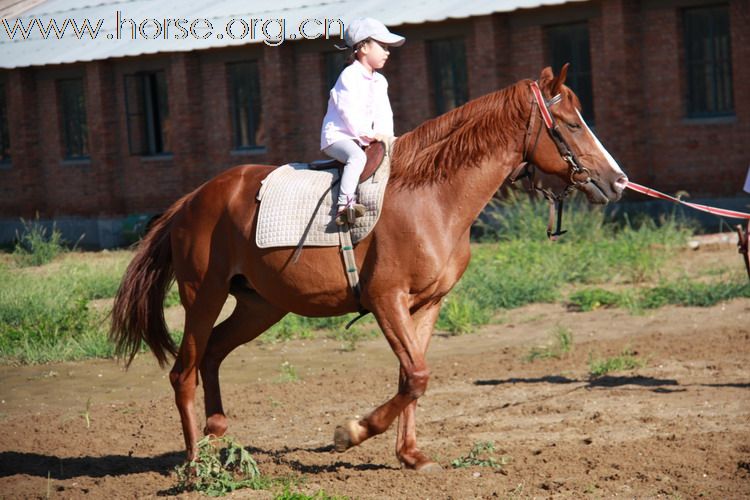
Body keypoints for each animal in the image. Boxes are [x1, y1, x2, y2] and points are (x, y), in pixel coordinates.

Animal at [111, 65, 628, 468]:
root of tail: (192, 200)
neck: (431, 197)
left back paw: (218, 432)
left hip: (261, 305)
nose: (618, 181)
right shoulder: (386, 300)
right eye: (571, 124)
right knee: (184, 372)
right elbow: (416, 376)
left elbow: (411, 376)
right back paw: (194, 464)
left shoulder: (427, 305)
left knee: (214, 353)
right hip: (203, 296)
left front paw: (410, 455)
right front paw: (352, 432)